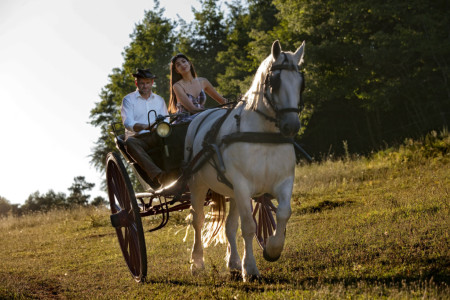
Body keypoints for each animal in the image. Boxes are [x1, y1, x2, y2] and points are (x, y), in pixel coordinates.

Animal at [184, 39, 306, 282]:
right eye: (275, 82)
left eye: (301, 84)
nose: (291, 126)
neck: (263, 136)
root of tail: (200, 116)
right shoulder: (242, 186)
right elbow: (249, 226)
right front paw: (249, 269)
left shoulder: (284, 181)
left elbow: (283, 213)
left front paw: (272, 249)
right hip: (198, 184)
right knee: (198, 220)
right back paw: (197, 262)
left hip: (229, 191)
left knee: (230, 225)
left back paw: (232, 262)